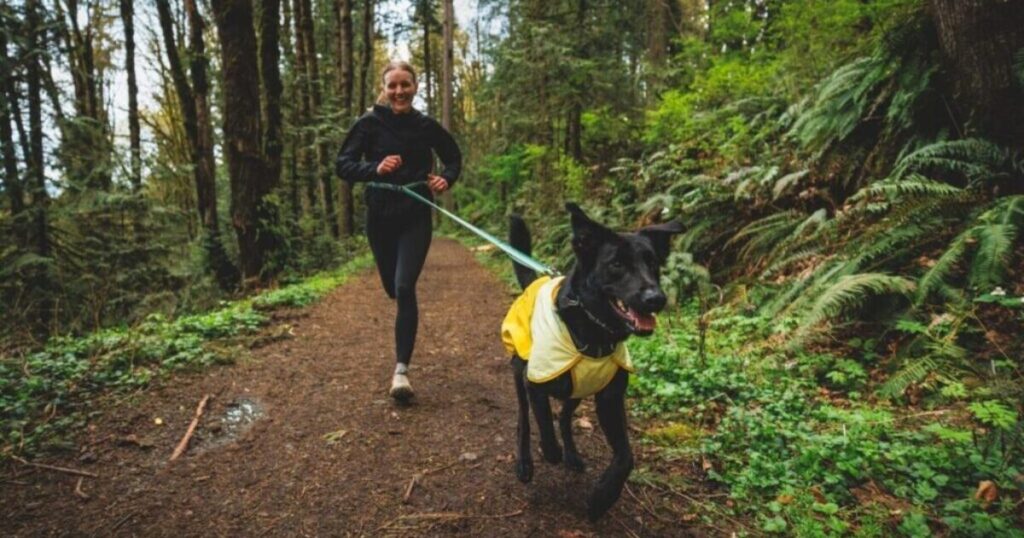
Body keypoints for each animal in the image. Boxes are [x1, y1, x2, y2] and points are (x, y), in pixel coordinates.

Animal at [501, 203, 683, 521]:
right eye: (616, 264)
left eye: (653, 264)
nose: (656, 298)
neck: (594, 331)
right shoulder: (535, 382)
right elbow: (543, 423)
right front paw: (550, 451)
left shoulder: (609, 399)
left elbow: (625, 457)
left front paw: (602, 498)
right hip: (519, 373)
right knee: (524, 419)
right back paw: (526, 461)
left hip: (579, 390)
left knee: (564, 417)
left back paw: (572, 455)